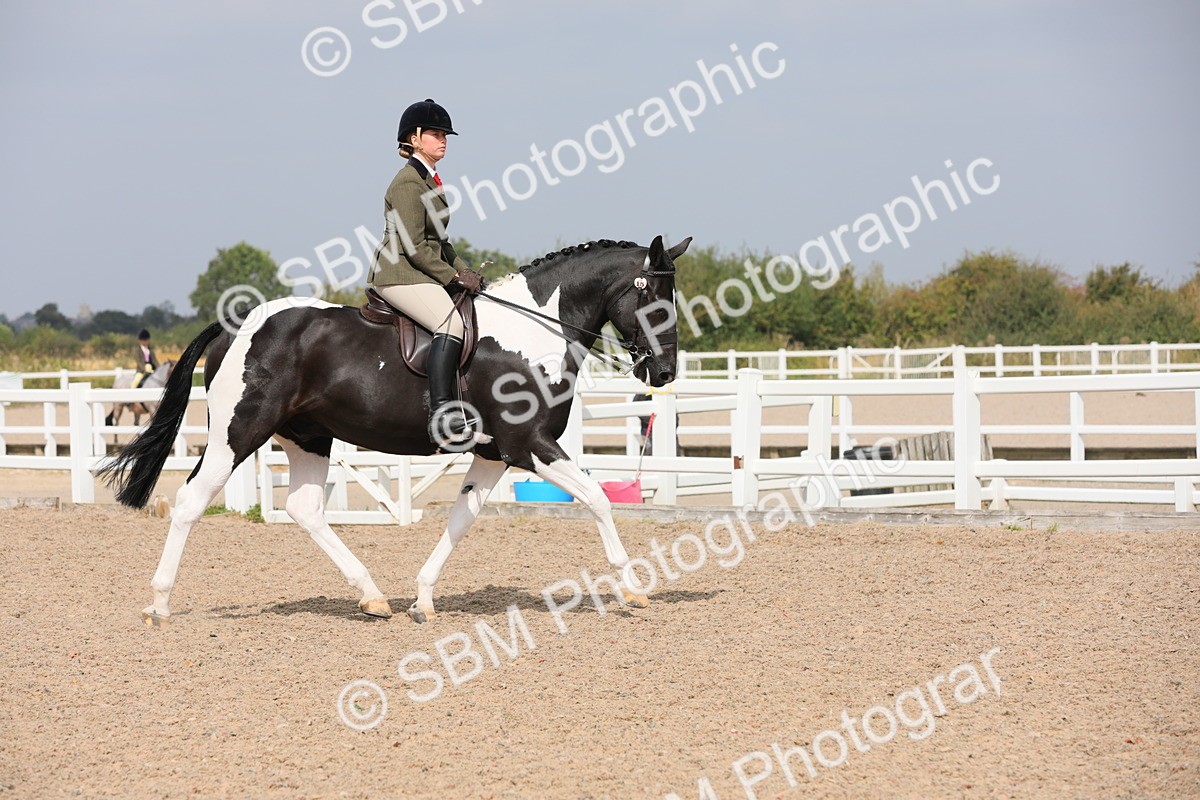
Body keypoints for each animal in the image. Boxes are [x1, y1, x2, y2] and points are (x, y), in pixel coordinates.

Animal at [99, 235, 689, 626]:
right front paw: (632, 588)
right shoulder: (531, 446)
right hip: (237, 433)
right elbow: (598, 500)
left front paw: (423, 599)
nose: (663, 374)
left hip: (308, 436)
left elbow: (461, 519)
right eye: (653, 300)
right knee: (191, 500)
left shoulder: (494, 454)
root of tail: (235, 325)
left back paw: (372, 596)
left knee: (305, 509)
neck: (532, 330)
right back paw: (159, 603)